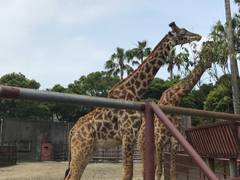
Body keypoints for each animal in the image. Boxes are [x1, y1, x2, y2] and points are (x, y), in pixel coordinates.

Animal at [64, 22, 202, 180]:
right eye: (183, 32)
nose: (198, 36)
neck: (134, 91)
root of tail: (72, 131)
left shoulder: (134, 135)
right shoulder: (128, 134)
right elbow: (128, 174)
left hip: (88, 150)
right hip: (81, 149)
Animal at [138, 41, 215, 180]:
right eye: (206, 52)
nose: (209, 64)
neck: (173, 100)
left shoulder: (173, 142)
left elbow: (173, 171)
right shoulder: (159, 141)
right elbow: (159, 172)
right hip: (143, 147)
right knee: (145, 170)